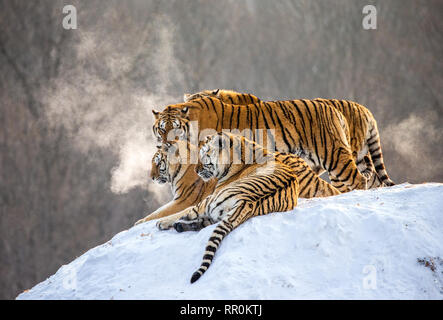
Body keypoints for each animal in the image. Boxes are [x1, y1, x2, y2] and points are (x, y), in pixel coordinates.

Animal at [154, 132, 304, 282]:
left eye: (204, 156)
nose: (196, 170)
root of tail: (246, 202)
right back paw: (180, 226)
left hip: (209, 200)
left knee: (188, 213)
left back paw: (164, 223)